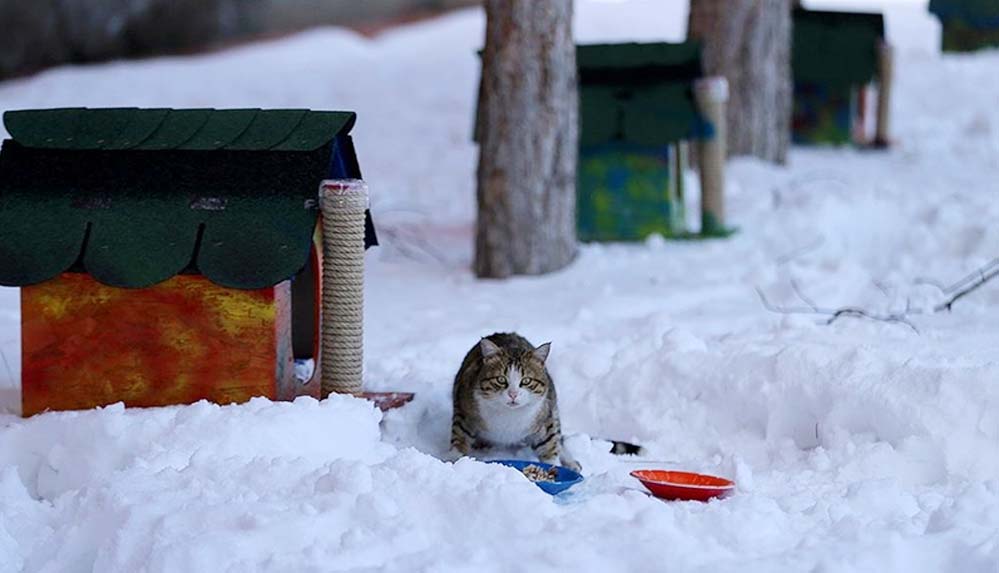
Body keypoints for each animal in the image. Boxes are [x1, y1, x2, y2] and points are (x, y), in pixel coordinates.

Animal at [452, 332, 584, 472]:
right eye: (501, 379)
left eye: (526, 380)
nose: (513, 394)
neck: (510, 414)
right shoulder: (464, 409)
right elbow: (460, 436)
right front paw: (454, 463)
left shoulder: (545, 415)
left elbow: (549, 444)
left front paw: (553, 467)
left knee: (558, 437)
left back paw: (571, 462)